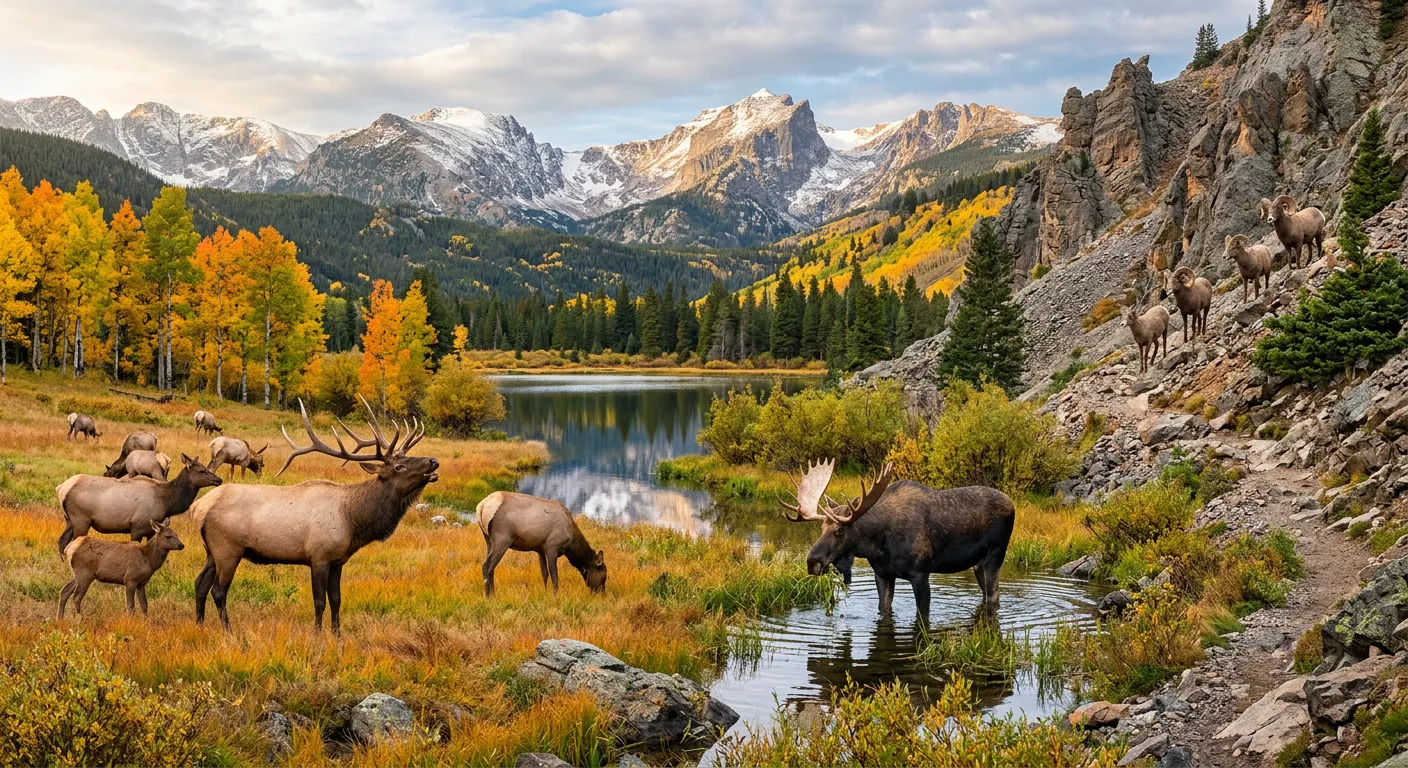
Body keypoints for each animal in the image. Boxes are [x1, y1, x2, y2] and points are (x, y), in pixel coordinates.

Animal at [56, 455, 222, 553]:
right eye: (201, 470)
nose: (219, 480)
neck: (167, 502)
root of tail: (61, 489)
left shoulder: (151, 530)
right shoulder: (136, 527)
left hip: (70, 520)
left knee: (62, 541)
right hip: (81, 519)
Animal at [190, 399, 438, 634]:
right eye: (399, 466)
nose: (433, 461)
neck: (353, 521)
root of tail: (199, 508)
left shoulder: (338, 561)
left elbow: (336, 600)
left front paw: (337, 634)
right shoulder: (319, 556)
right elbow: (319, 601)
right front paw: (318, 633)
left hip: (211, 551)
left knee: (200, 583)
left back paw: (199, 624)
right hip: (228, 549)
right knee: (218, 590)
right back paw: (228, 630)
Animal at [477, 491, 607, 596]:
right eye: (604, 575)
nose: (602, 593)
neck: (570, 545)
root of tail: (481, 507)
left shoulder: (540, 550)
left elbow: (544, 574)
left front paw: (545, 592)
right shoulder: (551, 548)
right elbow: (554, 575)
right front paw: (555, 595)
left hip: (488, 540)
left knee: (490, 568)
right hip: (502, 539)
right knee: (487, 566)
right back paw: (490, 596)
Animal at [782, 460, 1015, 622]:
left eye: (839, 531)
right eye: (821, 528)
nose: (812, 561)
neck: (878, 546)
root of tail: (1012, 505)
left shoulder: (920, 573)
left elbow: (922, 616)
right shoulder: (882, 574)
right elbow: (884, 610)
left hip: (996, 554)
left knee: (994, 596)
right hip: (978, 563)